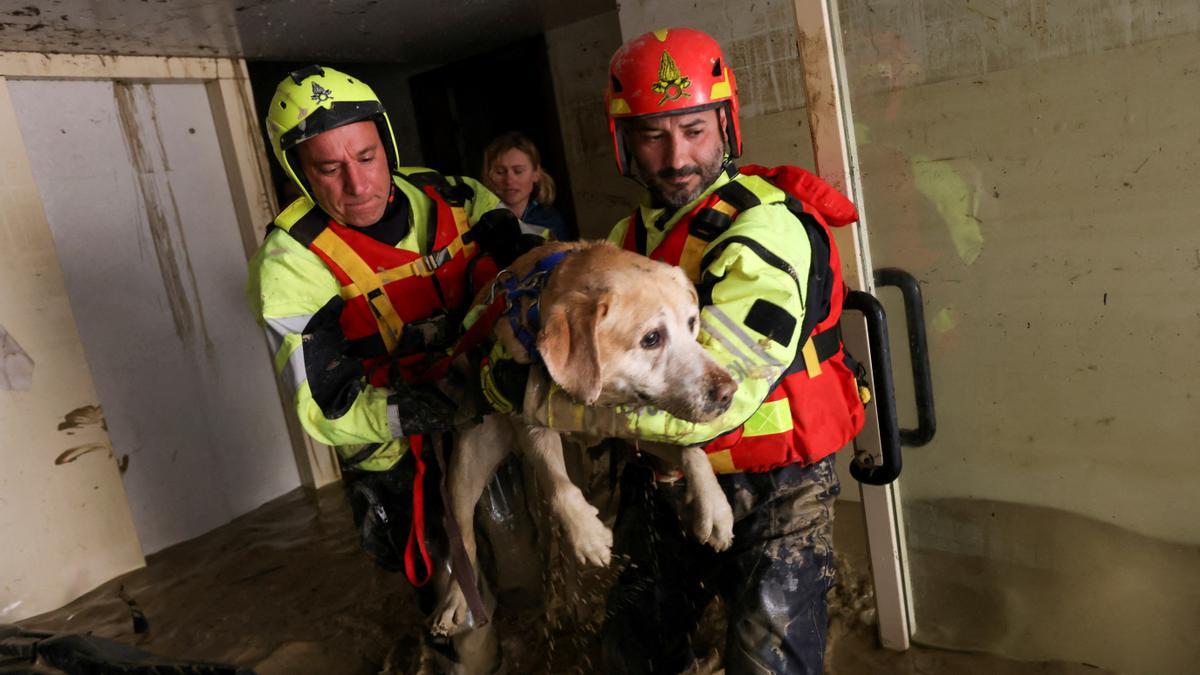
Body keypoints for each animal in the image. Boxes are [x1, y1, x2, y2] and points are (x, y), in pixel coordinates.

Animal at [432, 239, 729, 634]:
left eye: (692, 322)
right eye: (651, 338)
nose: (728, 392)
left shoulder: (633, 423)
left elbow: (692, 452)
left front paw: (715, 507)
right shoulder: (531, 424)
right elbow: (559, 486)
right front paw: (587, 533)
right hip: (468, 461)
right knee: (464, 533)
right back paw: (457, 601)